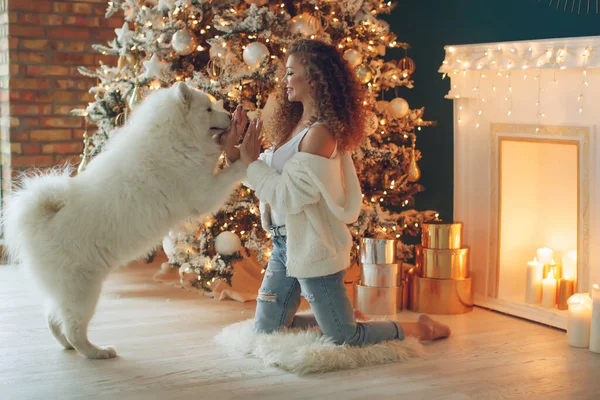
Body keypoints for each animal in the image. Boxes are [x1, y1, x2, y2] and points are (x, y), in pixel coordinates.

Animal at [1, 83, 246, 360]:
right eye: (208, 109)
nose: (230, 114)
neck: (174, 140)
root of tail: (40, 219)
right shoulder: (204, 194)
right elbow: (229, 172)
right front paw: (247, 158)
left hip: (65, 289)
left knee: (53, 319)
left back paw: (67, 345)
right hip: (83, 288)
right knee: (73, 327)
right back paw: (96, 352)